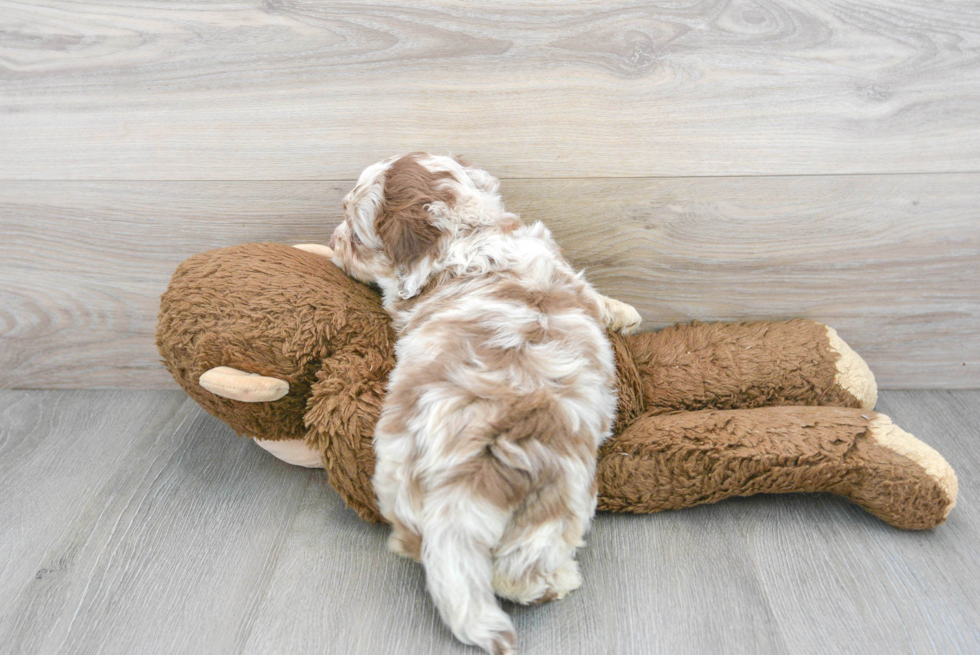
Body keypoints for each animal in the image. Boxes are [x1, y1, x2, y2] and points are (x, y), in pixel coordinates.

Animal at [334, 154, 644, 655]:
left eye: (354, 234)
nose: (332, 240)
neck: (467, 230)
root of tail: (468, 475)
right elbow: (594, 297)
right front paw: (625, 313)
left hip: (398, 475)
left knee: (415, 542)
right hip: (560, 501)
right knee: (522, 568)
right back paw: (558, 583)